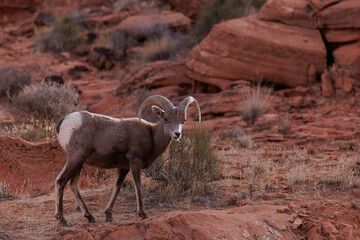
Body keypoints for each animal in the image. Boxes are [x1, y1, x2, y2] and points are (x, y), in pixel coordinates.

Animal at [54, 94, 201, 226]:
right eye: (166, 119)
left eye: (183, 120)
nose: (177, 134)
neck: (152, 135)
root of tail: (64, 121)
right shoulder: (134, 161)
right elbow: (138, 185)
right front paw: (143, 214)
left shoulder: (123, 168)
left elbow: (117, 187)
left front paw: (108, 215)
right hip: (76, 158)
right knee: (61, 181)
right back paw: (62, 220)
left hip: (79, 161)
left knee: (73, 184)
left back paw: (90, 217)